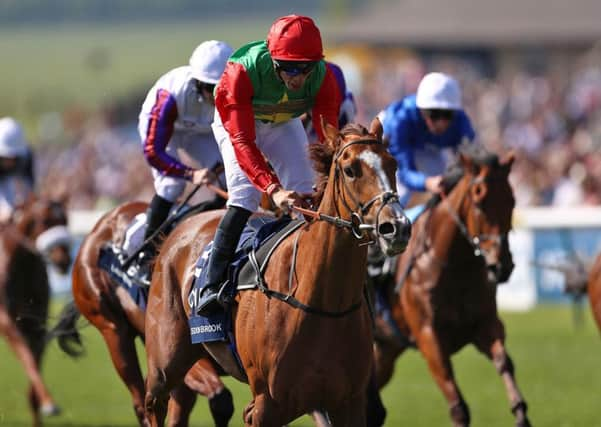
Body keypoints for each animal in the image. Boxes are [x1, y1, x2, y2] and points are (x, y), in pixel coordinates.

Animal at [0, 196, 71, 426]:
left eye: (65, 219)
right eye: (45, 220)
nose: (64, 260)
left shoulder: (37, 322)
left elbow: (35, 359)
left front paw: (41, 402)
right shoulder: (7, 320)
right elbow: (27, 358)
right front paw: (49, 403)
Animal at [142, 122, 410, 426]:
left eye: (393, 164)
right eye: (350, 169)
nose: (397, 227)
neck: (322, 302)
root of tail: (176, 231)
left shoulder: (349, 402)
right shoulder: (266, 406)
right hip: (165, 361)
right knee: (154, 402)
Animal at [372, 145, 532, 427]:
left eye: (512, 200)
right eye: (479, 200)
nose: (502, 266)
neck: (455, 268)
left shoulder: (486, 324)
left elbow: (504, 362)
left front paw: (520, 411)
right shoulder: (429, 338)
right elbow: (458, 406)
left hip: (385, 351)